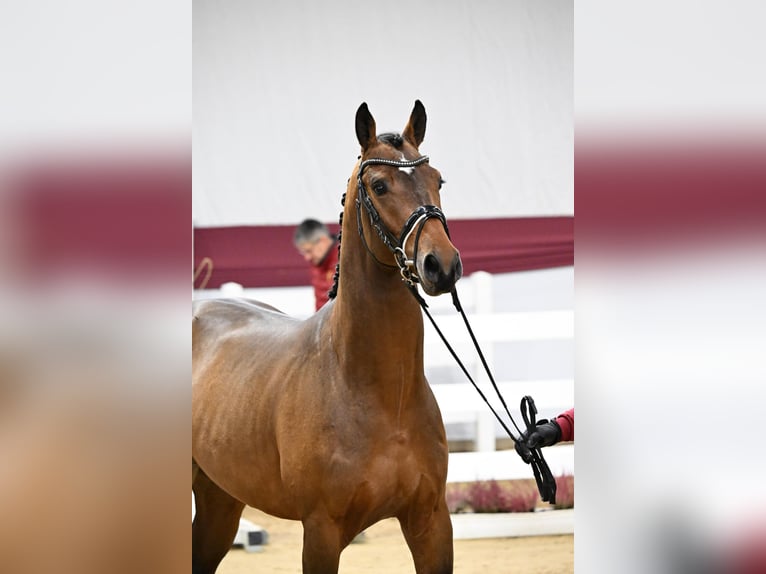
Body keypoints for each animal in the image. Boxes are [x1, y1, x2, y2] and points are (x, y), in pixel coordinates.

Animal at [195, 101, 464, 572]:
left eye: (438, 180)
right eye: (379, 185)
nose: (441, 265)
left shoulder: (430, 522)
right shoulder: (321, 530)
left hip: (219, 501)